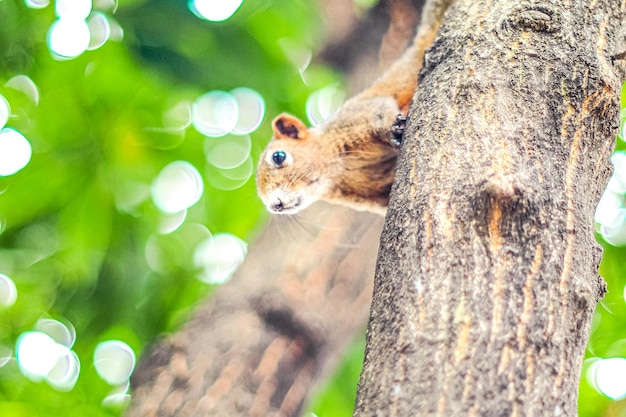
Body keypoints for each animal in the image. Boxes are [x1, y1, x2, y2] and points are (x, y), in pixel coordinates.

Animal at [255, 2, 448, 218]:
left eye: (278, 156)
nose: (275, 205)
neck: (336, 172)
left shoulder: (355, 117)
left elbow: (380, 111)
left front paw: (394, 128)